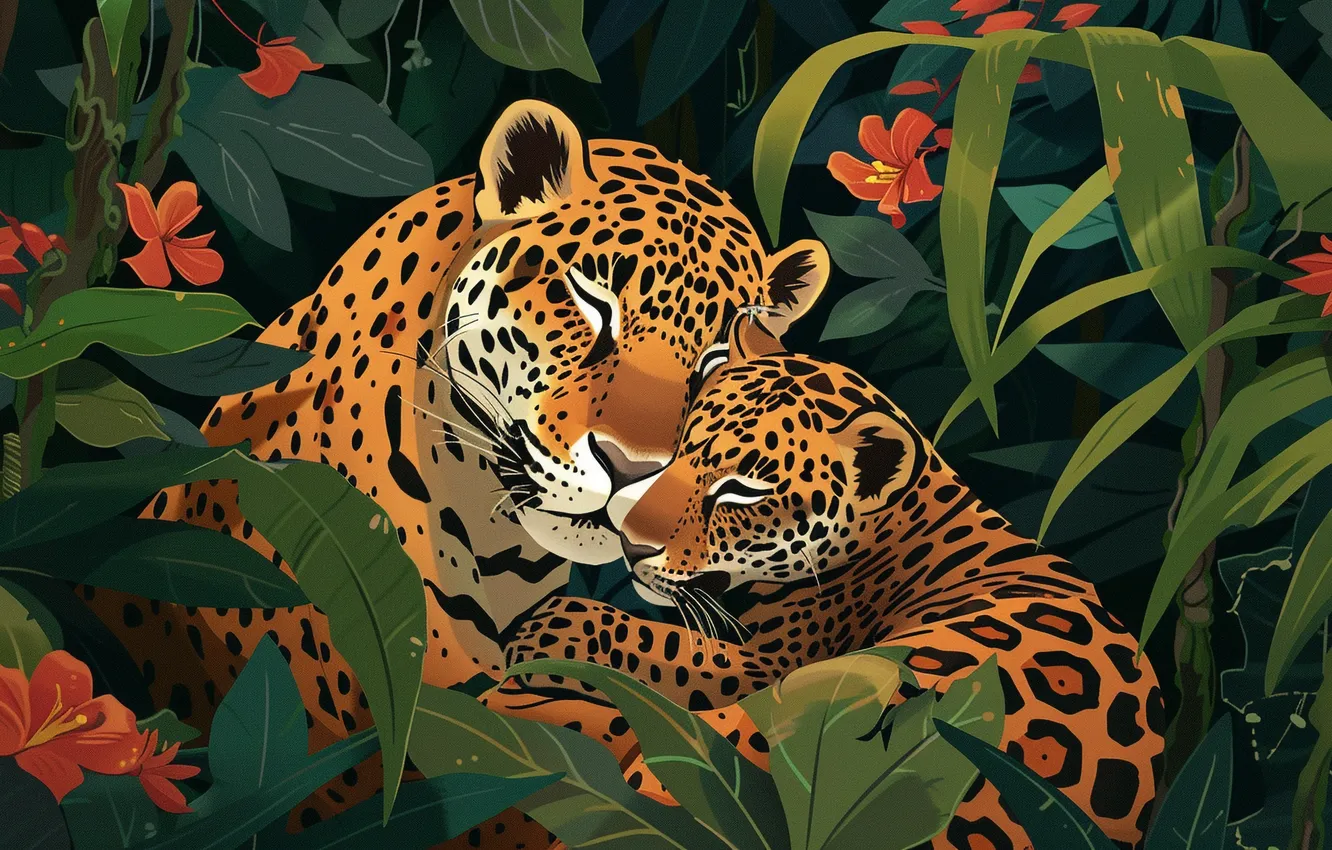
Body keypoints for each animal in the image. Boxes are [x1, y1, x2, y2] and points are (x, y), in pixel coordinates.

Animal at [501, 314, 1166, 850]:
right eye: (684, 448)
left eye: (742, 492)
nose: (632, 541)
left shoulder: (762, 664)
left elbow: (653, 642)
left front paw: (545, 631)